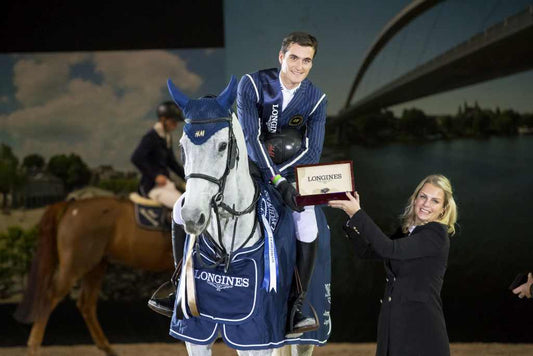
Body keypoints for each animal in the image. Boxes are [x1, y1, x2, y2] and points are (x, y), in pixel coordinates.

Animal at [14, 197, 172, 356]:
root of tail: (72, 205)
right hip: (75, 266)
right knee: (51, 297)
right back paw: (34, 347)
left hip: (96, 266)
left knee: (86, 304)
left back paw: (107, 348)